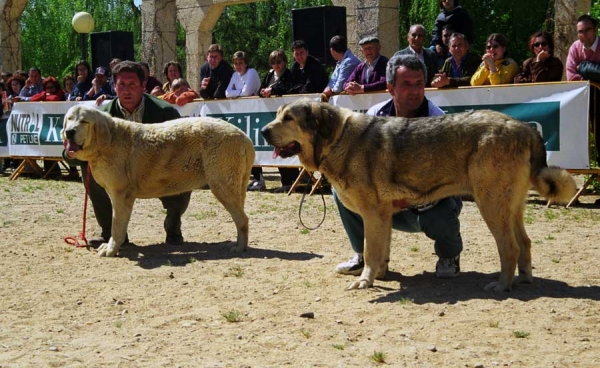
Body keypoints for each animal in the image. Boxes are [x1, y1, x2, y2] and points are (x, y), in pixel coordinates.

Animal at [62, 105, 254, 258]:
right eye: (69, 119)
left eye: (84, 121)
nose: (69, 132)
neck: (108, 141)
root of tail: (244, 136)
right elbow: (119, 224)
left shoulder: (120, 195)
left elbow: (116, 225)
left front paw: (111, 249)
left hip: (222, 186)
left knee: (242, 219)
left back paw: (240, 247)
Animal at [262, 98, 576, 294]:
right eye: (277, 116)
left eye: (288, 118)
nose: (263, 131)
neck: (338, 140)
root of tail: (523, 127)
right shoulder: (383, 216)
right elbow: (380, 251)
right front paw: (379, 275)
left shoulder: (373, 214)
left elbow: (370, 250)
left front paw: (365, 281)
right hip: (511, 208)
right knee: (525, 243)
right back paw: (523, 279)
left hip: (491, 205)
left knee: (509, 247)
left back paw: (502, 285)